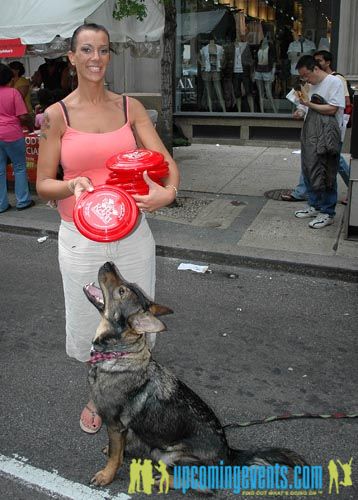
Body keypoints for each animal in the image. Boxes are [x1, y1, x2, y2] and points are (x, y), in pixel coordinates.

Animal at [83, 262, 304, 488]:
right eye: (127, 285)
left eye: (122, 291)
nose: (109, 263)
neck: (118, 354)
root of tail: (229, 453)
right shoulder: (123, 430)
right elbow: (119, 448)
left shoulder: (115, 426)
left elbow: (115, 456)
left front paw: (107, 474)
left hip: (171, 455)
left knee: (202, 483)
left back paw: (161, 480)